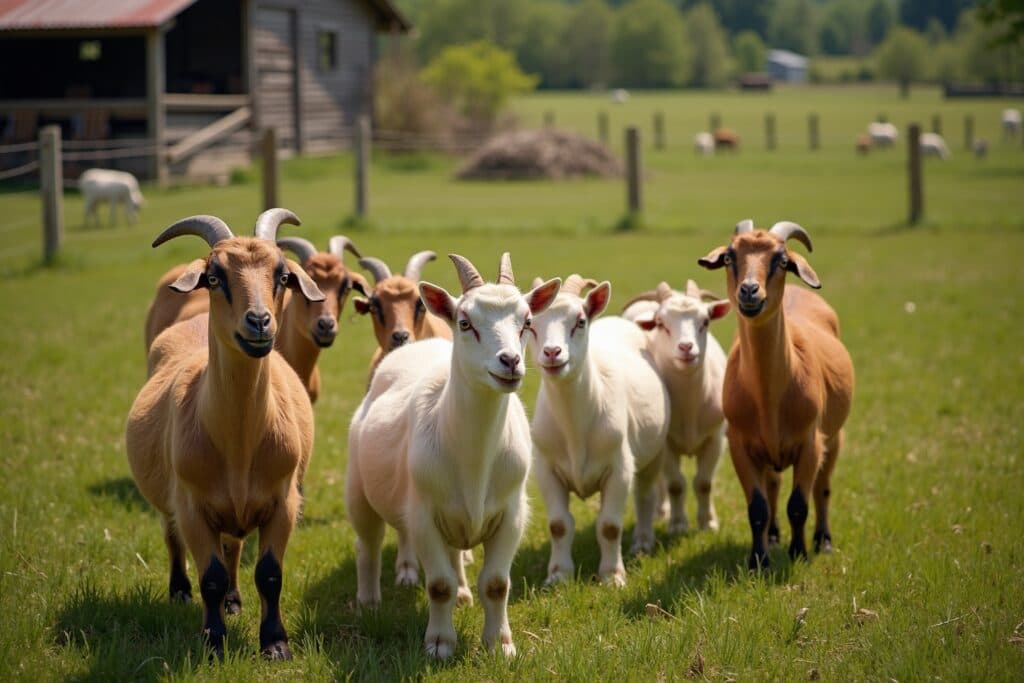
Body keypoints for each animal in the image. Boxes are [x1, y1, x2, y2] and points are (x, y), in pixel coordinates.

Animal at [125, 209, 325, 660]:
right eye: (214, 277)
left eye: (283, 275)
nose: (259, 322)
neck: (238, 444)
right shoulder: (192, 505)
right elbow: (210, 576)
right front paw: (213, 642)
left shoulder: (284, 501)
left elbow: (269, 574)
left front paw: (275, 644)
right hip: (168, 498)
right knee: (172, 536)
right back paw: (179, 591)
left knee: (232, 546)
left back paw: (234, 600)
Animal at [347, 253, 560, 659]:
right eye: (465, 322)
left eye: (527, 322)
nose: (510, 361)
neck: (474, 456)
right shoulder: (423, 516)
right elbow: (438, 584)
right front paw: (440, 644)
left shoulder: (512, 514)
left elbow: (496, 583)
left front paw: (500, 645)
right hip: (360, 493)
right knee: (368, 545)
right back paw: (367, 602)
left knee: (456, 555)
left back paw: (463, 593)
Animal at [527, 275, 668, 586]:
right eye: (529, 324)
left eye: (580, 321)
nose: (552, 353)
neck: (573, 427)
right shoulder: (546, 468)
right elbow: (558, 525)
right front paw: (558, 575)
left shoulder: (619, 467)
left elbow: (609, 526)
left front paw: (612, 577)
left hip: (654, 453)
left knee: (645, 495)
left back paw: (642, 542)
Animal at [621, 280, 729, 536]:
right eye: (661, 323)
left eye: (706, 321)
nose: (686, 347)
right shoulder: (666, 443)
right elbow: (675, 484)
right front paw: (678, 525)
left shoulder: (716, 439)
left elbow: (704, 483)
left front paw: (708, 523)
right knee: (661, 481)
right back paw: (662, 511)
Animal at [698, 219, 854, 571]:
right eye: (729, 257)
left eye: (781, 260)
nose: (749, 291)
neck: (769, 400)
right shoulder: (741, 446)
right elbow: (757, 507)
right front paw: (759, 560)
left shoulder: (809, 443)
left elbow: (799, 503)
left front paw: (799, 553)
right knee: (773, 487)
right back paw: (772, 536)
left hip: (834, 436)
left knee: (823, 488)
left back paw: (823, 540)